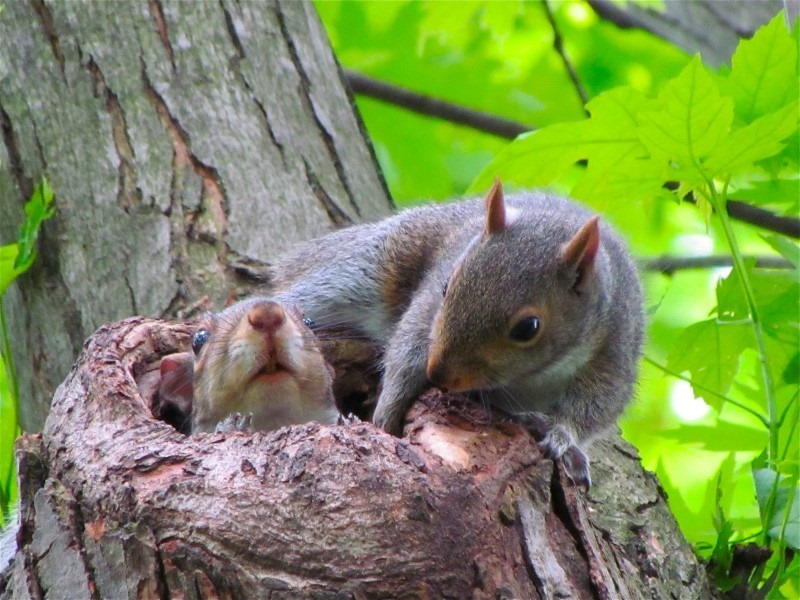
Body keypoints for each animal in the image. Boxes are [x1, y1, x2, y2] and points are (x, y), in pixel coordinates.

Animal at [270, 180, 644, 487]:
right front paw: (387, 413)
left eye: (528, 328)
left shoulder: (614, 346)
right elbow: (407, 349)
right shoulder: (426, 308)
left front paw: (562, 436)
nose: (438, 374)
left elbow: (598, 406)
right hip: (371, 267)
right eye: (447, 286)